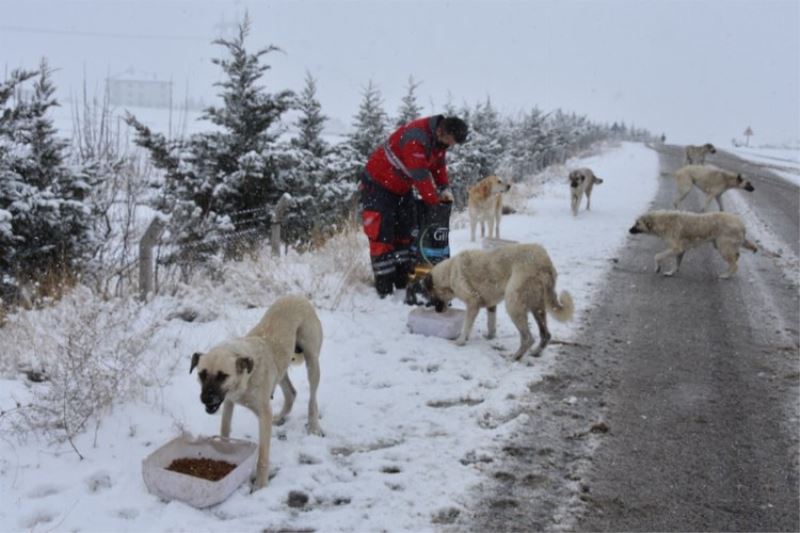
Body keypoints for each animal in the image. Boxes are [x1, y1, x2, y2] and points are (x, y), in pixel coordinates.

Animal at [189, 294, 324, 488]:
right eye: (202, 374)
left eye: (222, 376)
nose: (206, 399)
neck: (246, 376)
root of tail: (297, 296)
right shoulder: (228, 401)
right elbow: (224, 430)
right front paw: (222, 452)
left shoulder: (263, 413)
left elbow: (263, 455)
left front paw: (261, 484)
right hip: (281, 369)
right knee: (291, 393)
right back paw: (280, 416)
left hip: (312, 362)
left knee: (312, 399)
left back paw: (313, 427)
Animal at [422, 243, 572, 360]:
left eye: (431, 296)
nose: (437, 311)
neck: (449, 272)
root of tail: (545, 262)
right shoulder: (491, 305)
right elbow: (491, 324)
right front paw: (490, 337)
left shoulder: (473, 302)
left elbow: (466, 326)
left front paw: (460, 341)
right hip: (537, 308)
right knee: (545, 335)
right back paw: (535, 353)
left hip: (513, 304)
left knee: (528, 338)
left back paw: (515, 357)